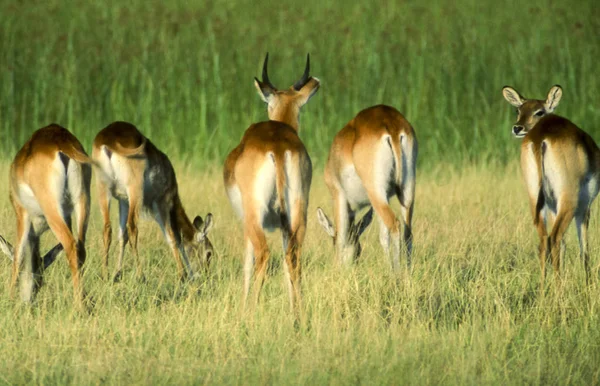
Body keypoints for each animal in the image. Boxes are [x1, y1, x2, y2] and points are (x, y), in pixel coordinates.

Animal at [6, 123, 91, 304]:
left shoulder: (22, 215)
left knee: (71, 246)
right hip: (82, 202)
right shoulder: (67, 216)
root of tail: (62, 143)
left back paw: (79, 306)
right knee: (80, 249)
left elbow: (18, 255)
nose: (28, 302)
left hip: (52, 210)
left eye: (39, 281)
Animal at [92, 122, 214, 282]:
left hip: (104, 189)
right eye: (209, 253)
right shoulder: (162, 202)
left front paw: (117, 273)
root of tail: (109, 138)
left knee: (107, 228)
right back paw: (141, 276)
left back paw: (105, 274)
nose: (205, 277)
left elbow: (122, 236)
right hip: (135, 191)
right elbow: (172, 237)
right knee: (133, 228)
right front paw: (182, 275)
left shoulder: (123, 200)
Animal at [224, 52, 318, 316]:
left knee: (264, 255)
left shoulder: (245, 220)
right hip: (298, 213)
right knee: (293, 258)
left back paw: (249, 315)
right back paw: (298, 316)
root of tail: (277, 146)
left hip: (256, 215)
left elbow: (247, 263)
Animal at [316, 104, 420, 270]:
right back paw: (406, 273)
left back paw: (397, 274)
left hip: (375, 192)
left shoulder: (338, 196)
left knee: (395, 225)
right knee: (407, 234)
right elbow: (383, 236)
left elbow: (342, 239)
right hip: (406, 191)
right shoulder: (386, 198)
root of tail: (391, 125)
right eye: (359, 251)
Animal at [502, 84, 600, 284]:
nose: (517, 128)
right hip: (569, 200)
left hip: (535, 198)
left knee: (543, 240)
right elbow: (584, 249)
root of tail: (541, 137)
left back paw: (543, 288)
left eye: (539, 111)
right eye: (518, 110)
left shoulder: (553, 207)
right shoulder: (584, 207)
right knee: (554, 238)